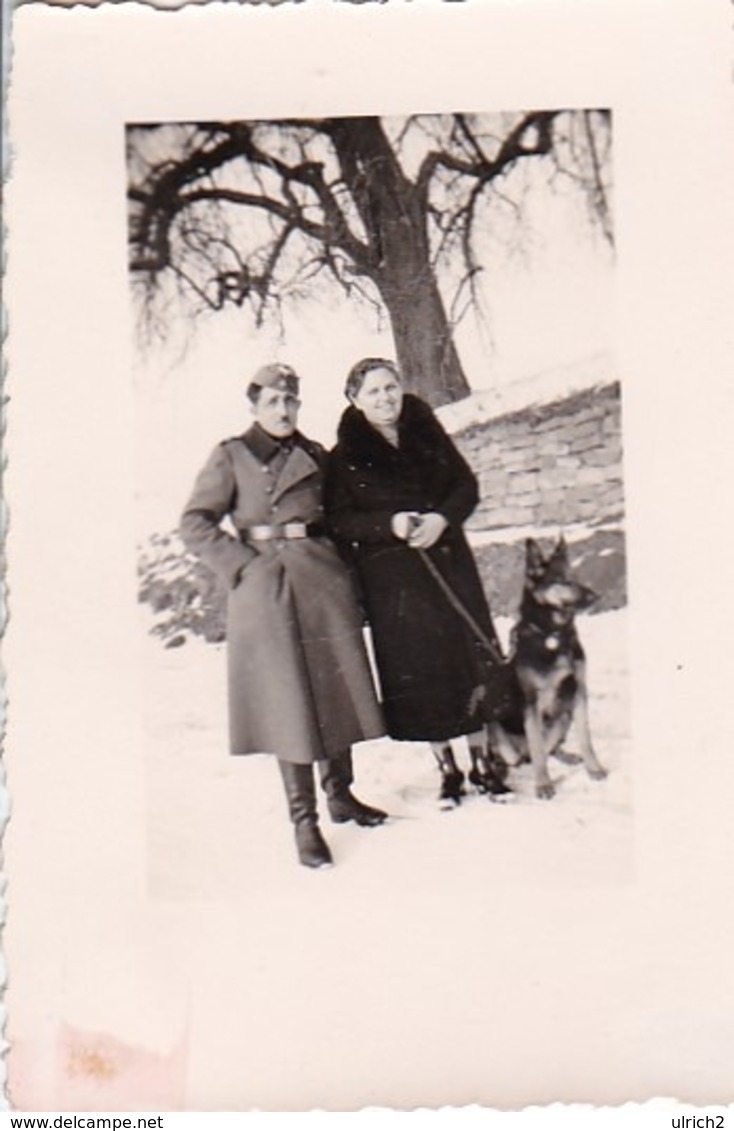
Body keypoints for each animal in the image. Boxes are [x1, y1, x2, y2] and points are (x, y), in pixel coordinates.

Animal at [488, 536, 610, 796]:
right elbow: (537, 747)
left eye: (575, 576)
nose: (596, 596)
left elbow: (585, 737)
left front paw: (593, 768)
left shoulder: (578, 691)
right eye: (562, 580)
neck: (553, 634)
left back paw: (566, 756)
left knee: (548, 745)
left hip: (564, 714)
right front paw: (543, 784)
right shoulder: (531, 702)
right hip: (493, 720)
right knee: (517, 754)